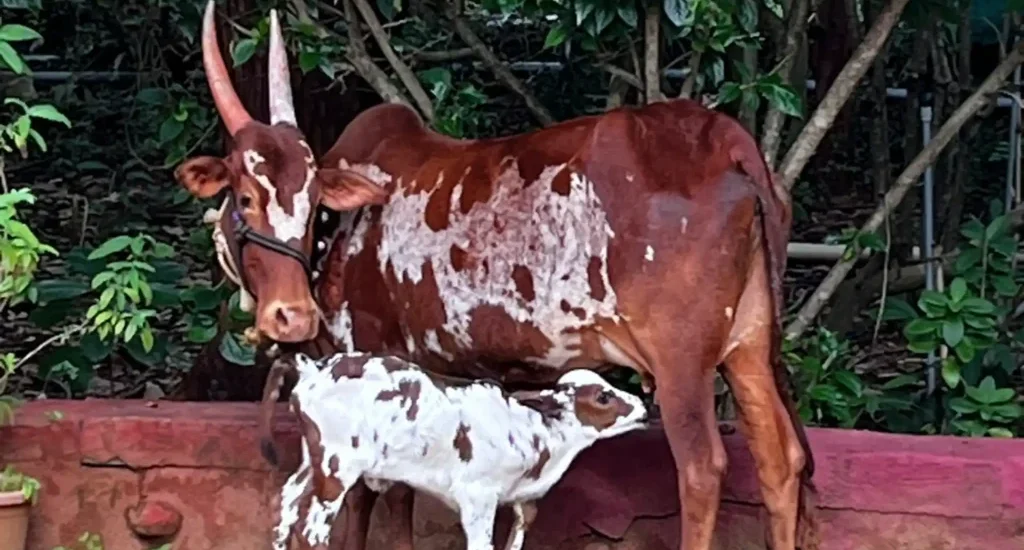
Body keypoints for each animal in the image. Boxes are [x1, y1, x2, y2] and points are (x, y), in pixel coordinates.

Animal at [269, 351, 648, 550]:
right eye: (603, 396)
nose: (644, 406)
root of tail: (312, 369)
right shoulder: (477, 498)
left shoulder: (523, 501)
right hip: (337, 469)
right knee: (312, 532)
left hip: (312, 461)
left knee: (286, 504)